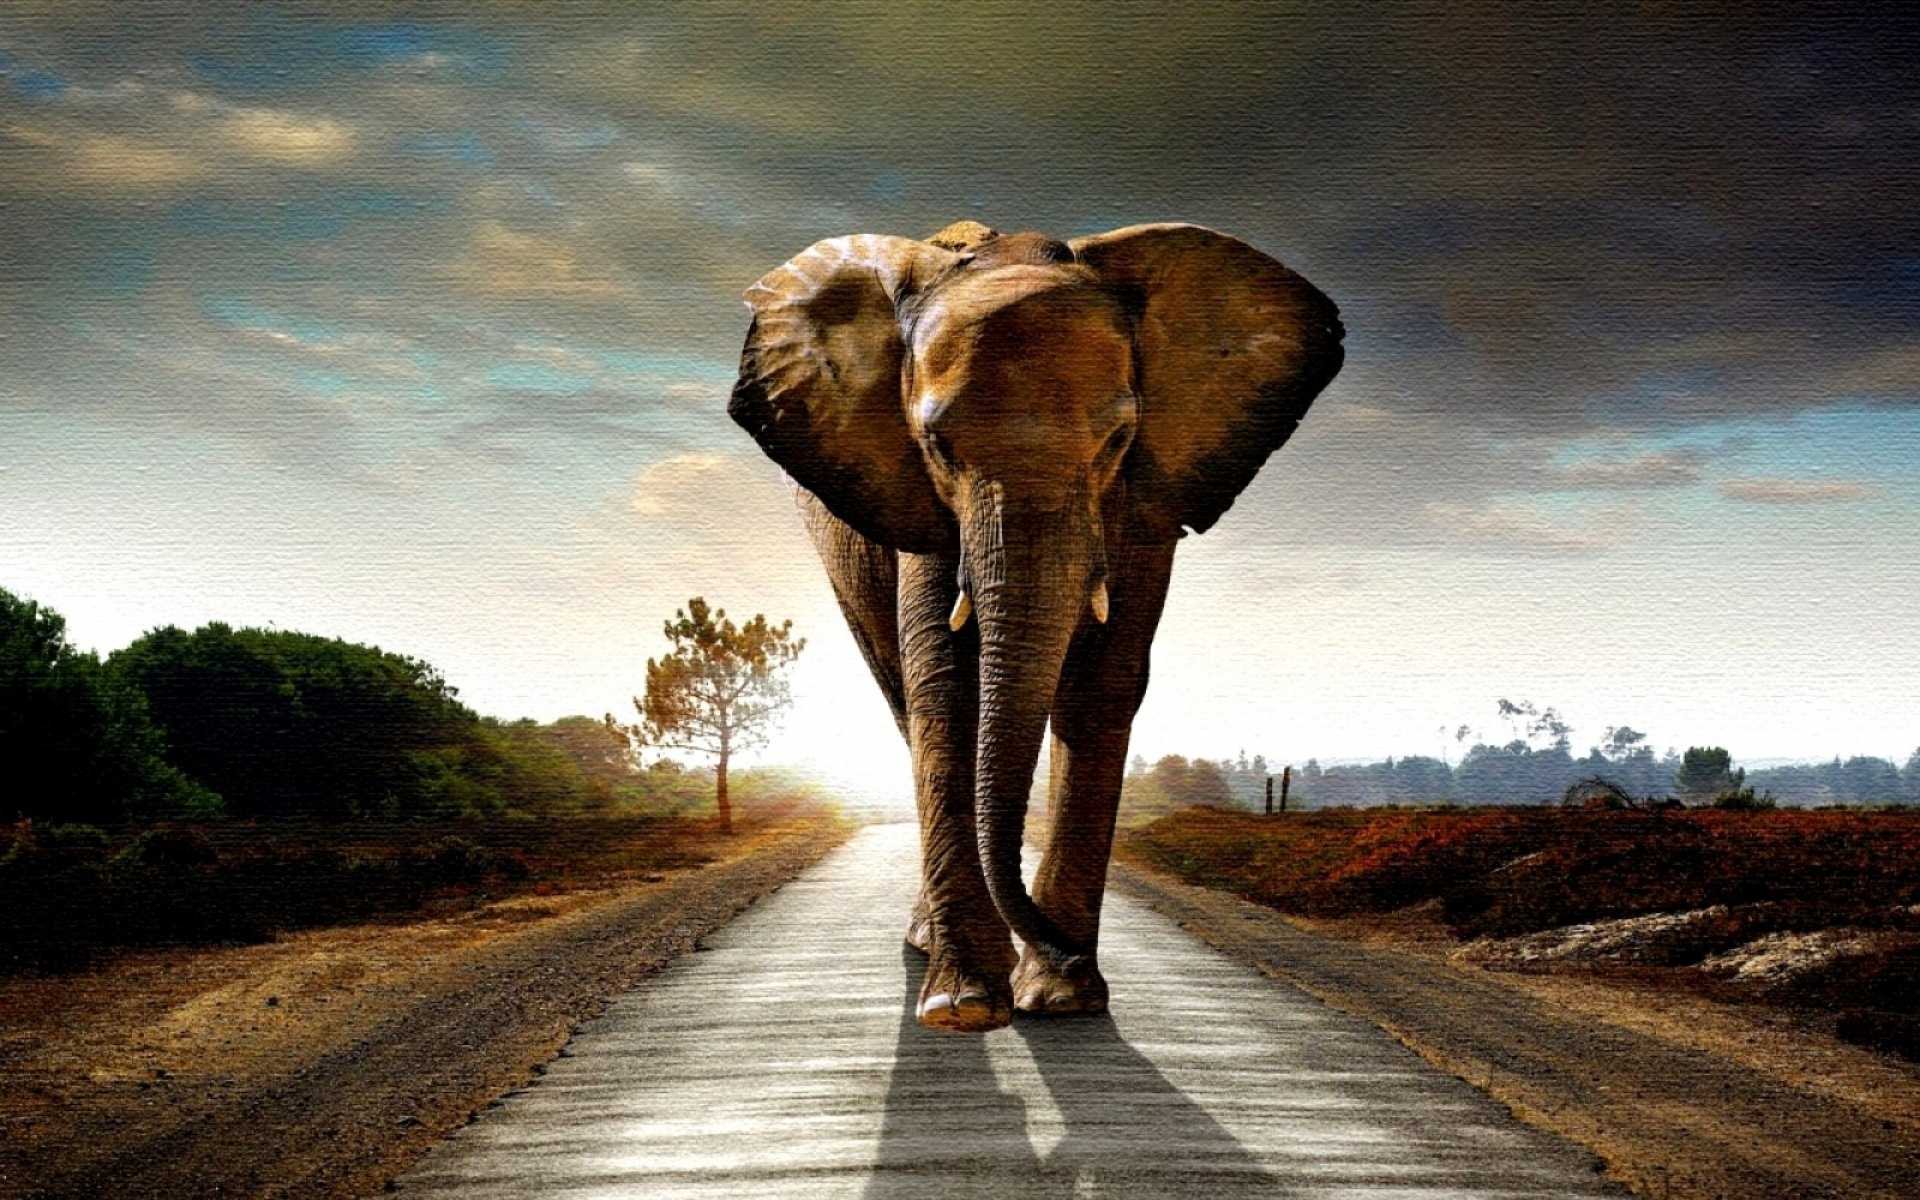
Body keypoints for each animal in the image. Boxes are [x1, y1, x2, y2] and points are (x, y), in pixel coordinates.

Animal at [728, 218, 1343, 1032]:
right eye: (937, 446)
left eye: (1117, 440)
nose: (1063, 950)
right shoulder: (916, 499)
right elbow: (946, 686)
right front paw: (964, 1007)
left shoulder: (1145, 497)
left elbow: (1102, 685)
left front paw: (1062, 998)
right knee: (902, 699)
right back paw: (930, 948)